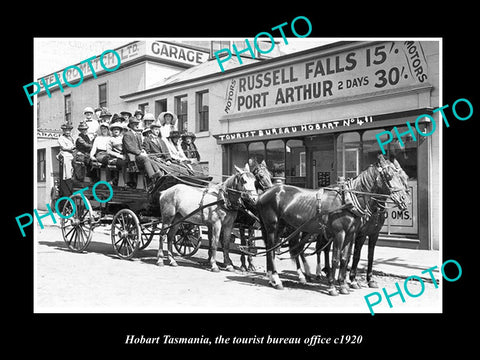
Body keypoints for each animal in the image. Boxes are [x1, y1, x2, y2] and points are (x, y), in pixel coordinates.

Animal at [256, 155, 410, 296]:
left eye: (405, 177)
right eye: (389, 176)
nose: (405, 200)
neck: (348, 200)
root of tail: (265, 193)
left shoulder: (354, 233)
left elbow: (347, 258)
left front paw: (343, 284)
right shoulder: (340, 233)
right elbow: (337, 258)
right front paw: (334, 286)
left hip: (286, 227)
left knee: (284, 249)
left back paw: (277, 278)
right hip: (273, 227)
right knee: (272, 250)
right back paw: (278, 279)